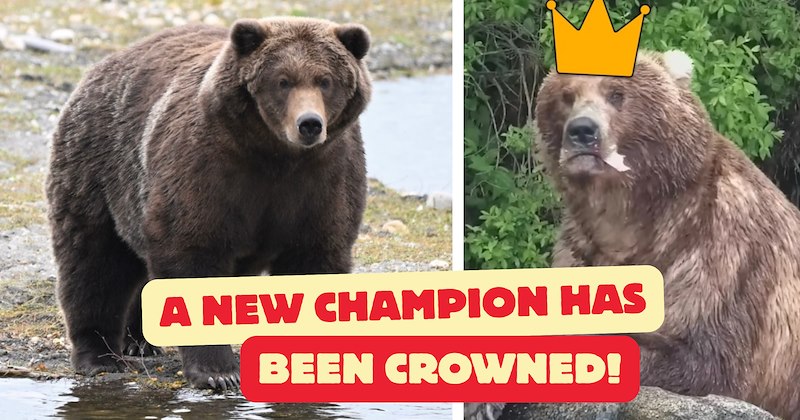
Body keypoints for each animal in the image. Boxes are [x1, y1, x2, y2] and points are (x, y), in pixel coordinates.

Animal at [45, 17, 372, 391]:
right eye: (282, 81)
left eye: (325, 80)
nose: (309, 124)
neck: (276, 156)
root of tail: (101, 67)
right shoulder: (207, 167)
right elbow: (192, 251)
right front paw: (219, 373)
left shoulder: (324, 179)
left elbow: (314, 258)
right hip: (98, 169)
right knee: (94, 261)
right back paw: (100, 356)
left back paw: (139, 340)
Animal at [532, 49, 800, 418]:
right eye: (566, 96)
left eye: (616, 93)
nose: (582, 131)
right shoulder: (581, 247)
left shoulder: (723, 254)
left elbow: (706, 360)